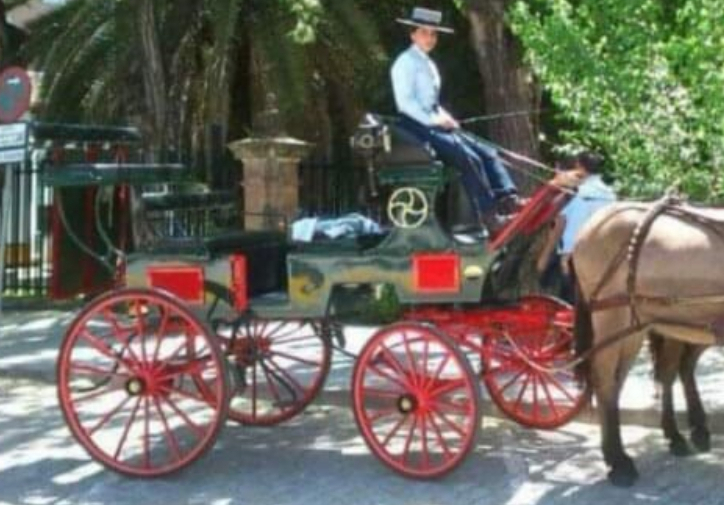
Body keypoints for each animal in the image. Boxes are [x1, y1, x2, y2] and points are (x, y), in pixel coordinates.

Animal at [572, 196, 720, 486]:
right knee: (606, 380)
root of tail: (591, 225)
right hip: (612, 319)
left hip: (643, 325)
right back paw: (619, 462)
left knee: (660, 373)